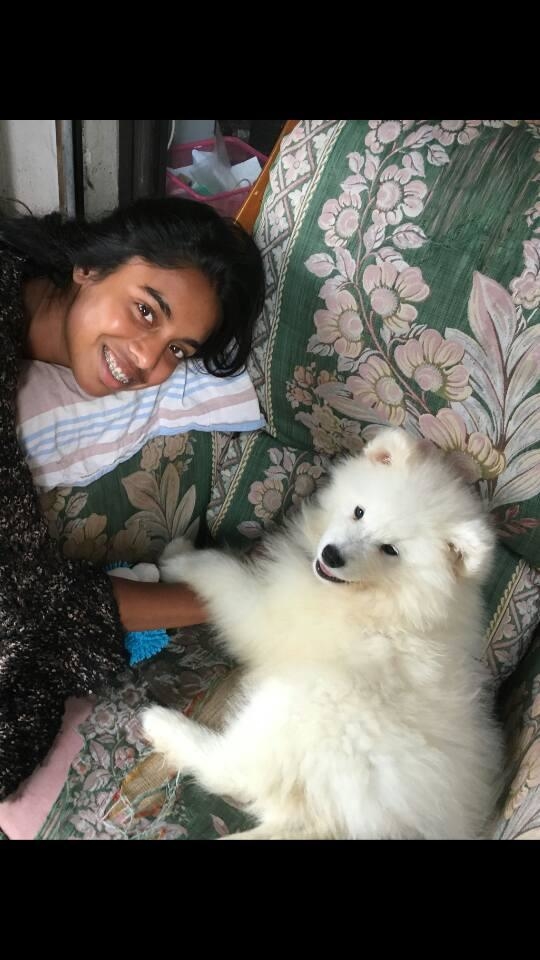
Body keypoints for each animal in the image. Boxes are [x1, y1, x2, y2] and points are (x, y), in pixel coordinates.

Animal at [141, 428, 503, 840]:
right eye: (359, 511)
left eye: (390, 549)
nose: (331, 555)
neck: (383, 602)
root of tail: (334, 823)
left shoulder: (267, 614)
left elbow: (221, 572)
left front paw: (179, 558)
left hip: (300, 703)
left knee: (232, 770)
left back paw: (164, 725)